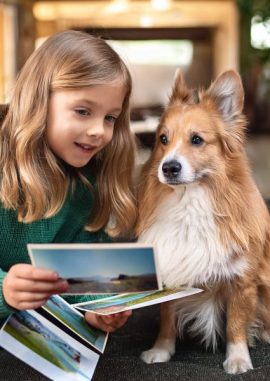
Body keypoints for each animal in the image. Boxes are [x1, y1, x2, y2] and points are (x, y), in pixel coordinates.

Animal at [136, 70, 270, 372]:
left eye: (196, 140)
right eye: (163, 139)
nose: (169, 168)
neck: (189, 203)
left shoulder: (242, 280)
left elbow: (235, 324)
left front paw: (238, 358)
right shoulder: (172, 268)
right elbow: (166, 319)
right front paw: (161, 350)